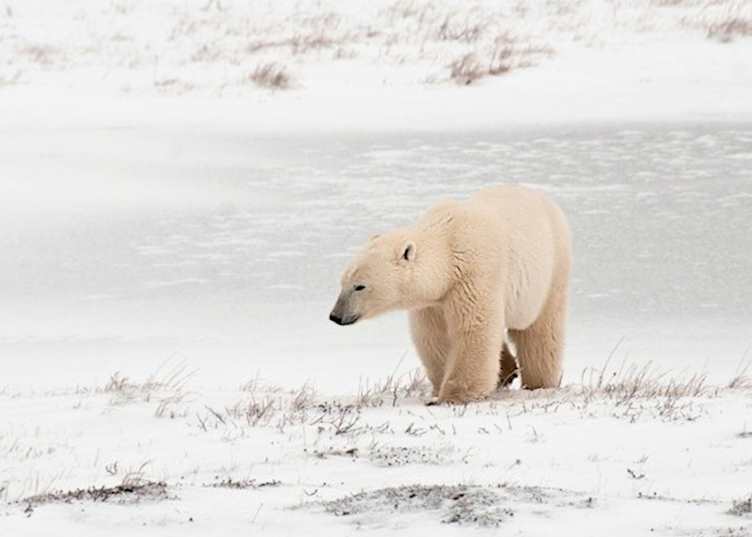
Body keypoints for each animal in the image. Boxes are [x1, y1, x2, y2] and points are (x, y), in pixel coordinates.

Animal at [329, 184, 572, 404]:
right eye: (343, 282)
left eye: (359, 286)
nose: (335, 316)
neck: (448, 245)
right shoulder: (433, 300)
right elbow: (435, 336)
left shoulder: (474, 275)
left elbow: (474, 329)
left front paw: (453, 396)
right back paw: (507, 369)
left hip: (550, 271)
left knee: (539, 331)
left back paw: (538, 382)